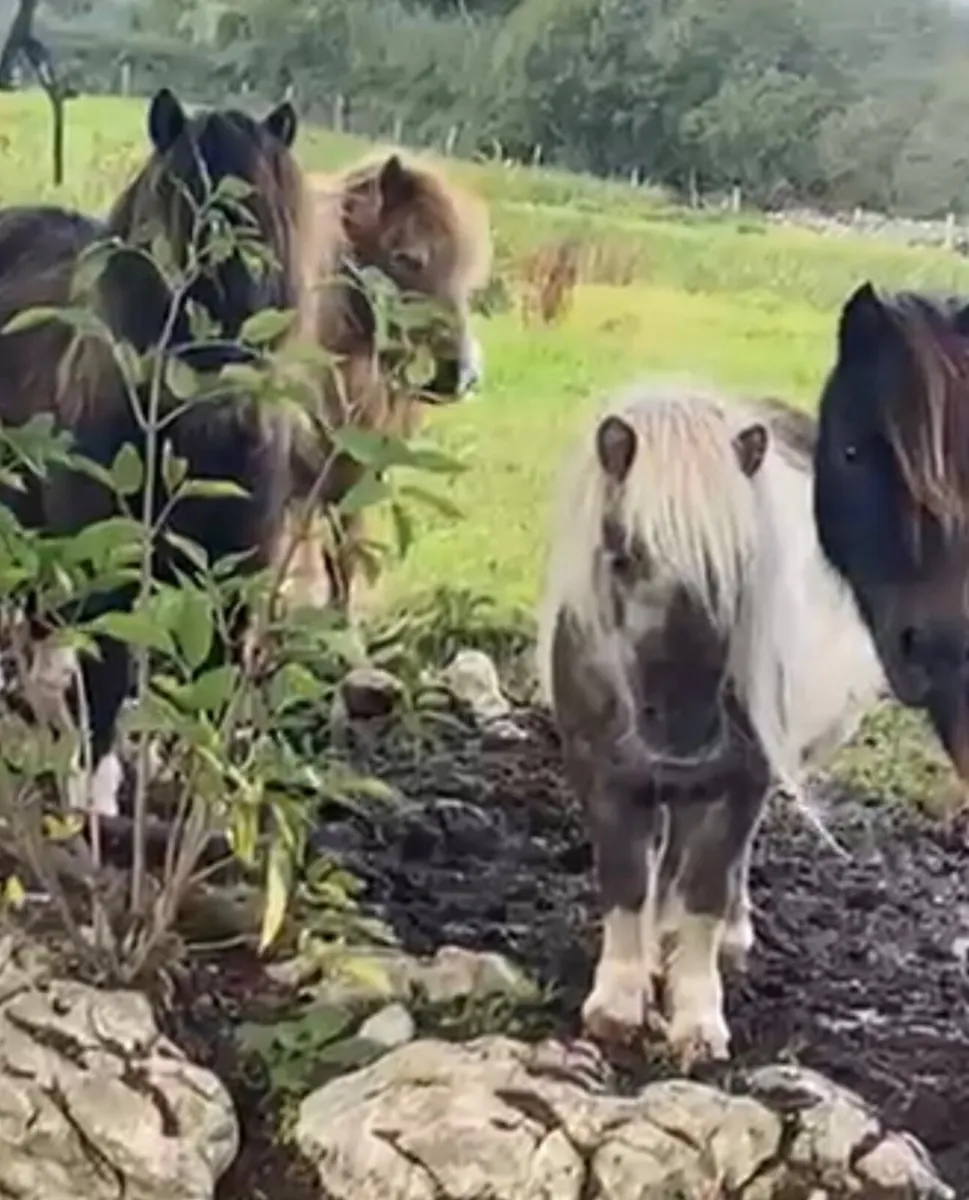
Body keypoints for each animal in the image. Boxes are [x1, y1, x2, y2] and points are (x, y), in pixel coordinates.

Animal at [0, 86, 304, 817]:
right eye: (180, 206)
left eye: (271, 215)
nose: (229, 352)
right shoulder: (108, 562)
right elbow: (110, 676)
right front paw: (93, 802)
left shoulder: (231, 578)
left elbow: (210, 692)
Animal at [536, 382, 886, 1066]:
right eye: (621, 557)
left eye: (744, 567)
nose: (687, 729)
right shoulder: (604, 775)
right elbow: (626, 882)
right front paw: (619, 1000)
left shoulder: (738, 780)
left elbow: (704, 889)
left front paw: (695, 1016)